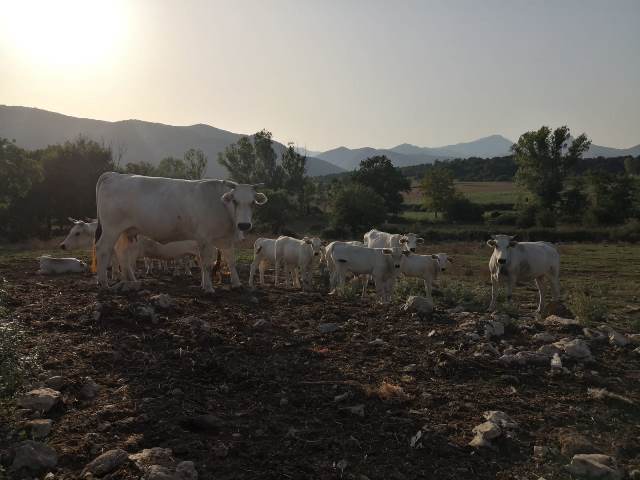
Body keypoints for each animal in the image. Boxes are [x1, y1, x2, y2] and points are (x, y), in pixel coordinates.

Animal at [94, 172, 266, 292]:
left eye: (253, 202)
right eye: (235, 201)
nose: (244, 225)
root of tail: (114, 175)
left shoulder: (224, 239)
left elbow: (231, 261)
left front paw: (237, 284)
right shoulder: (205, 238)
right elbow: (206, 264)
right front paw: (208, 287)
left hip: (127, 232)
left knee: (122, 254)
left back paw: (131, 281)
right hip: (111, 229)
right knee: (103, 249)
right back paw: (104, 283)